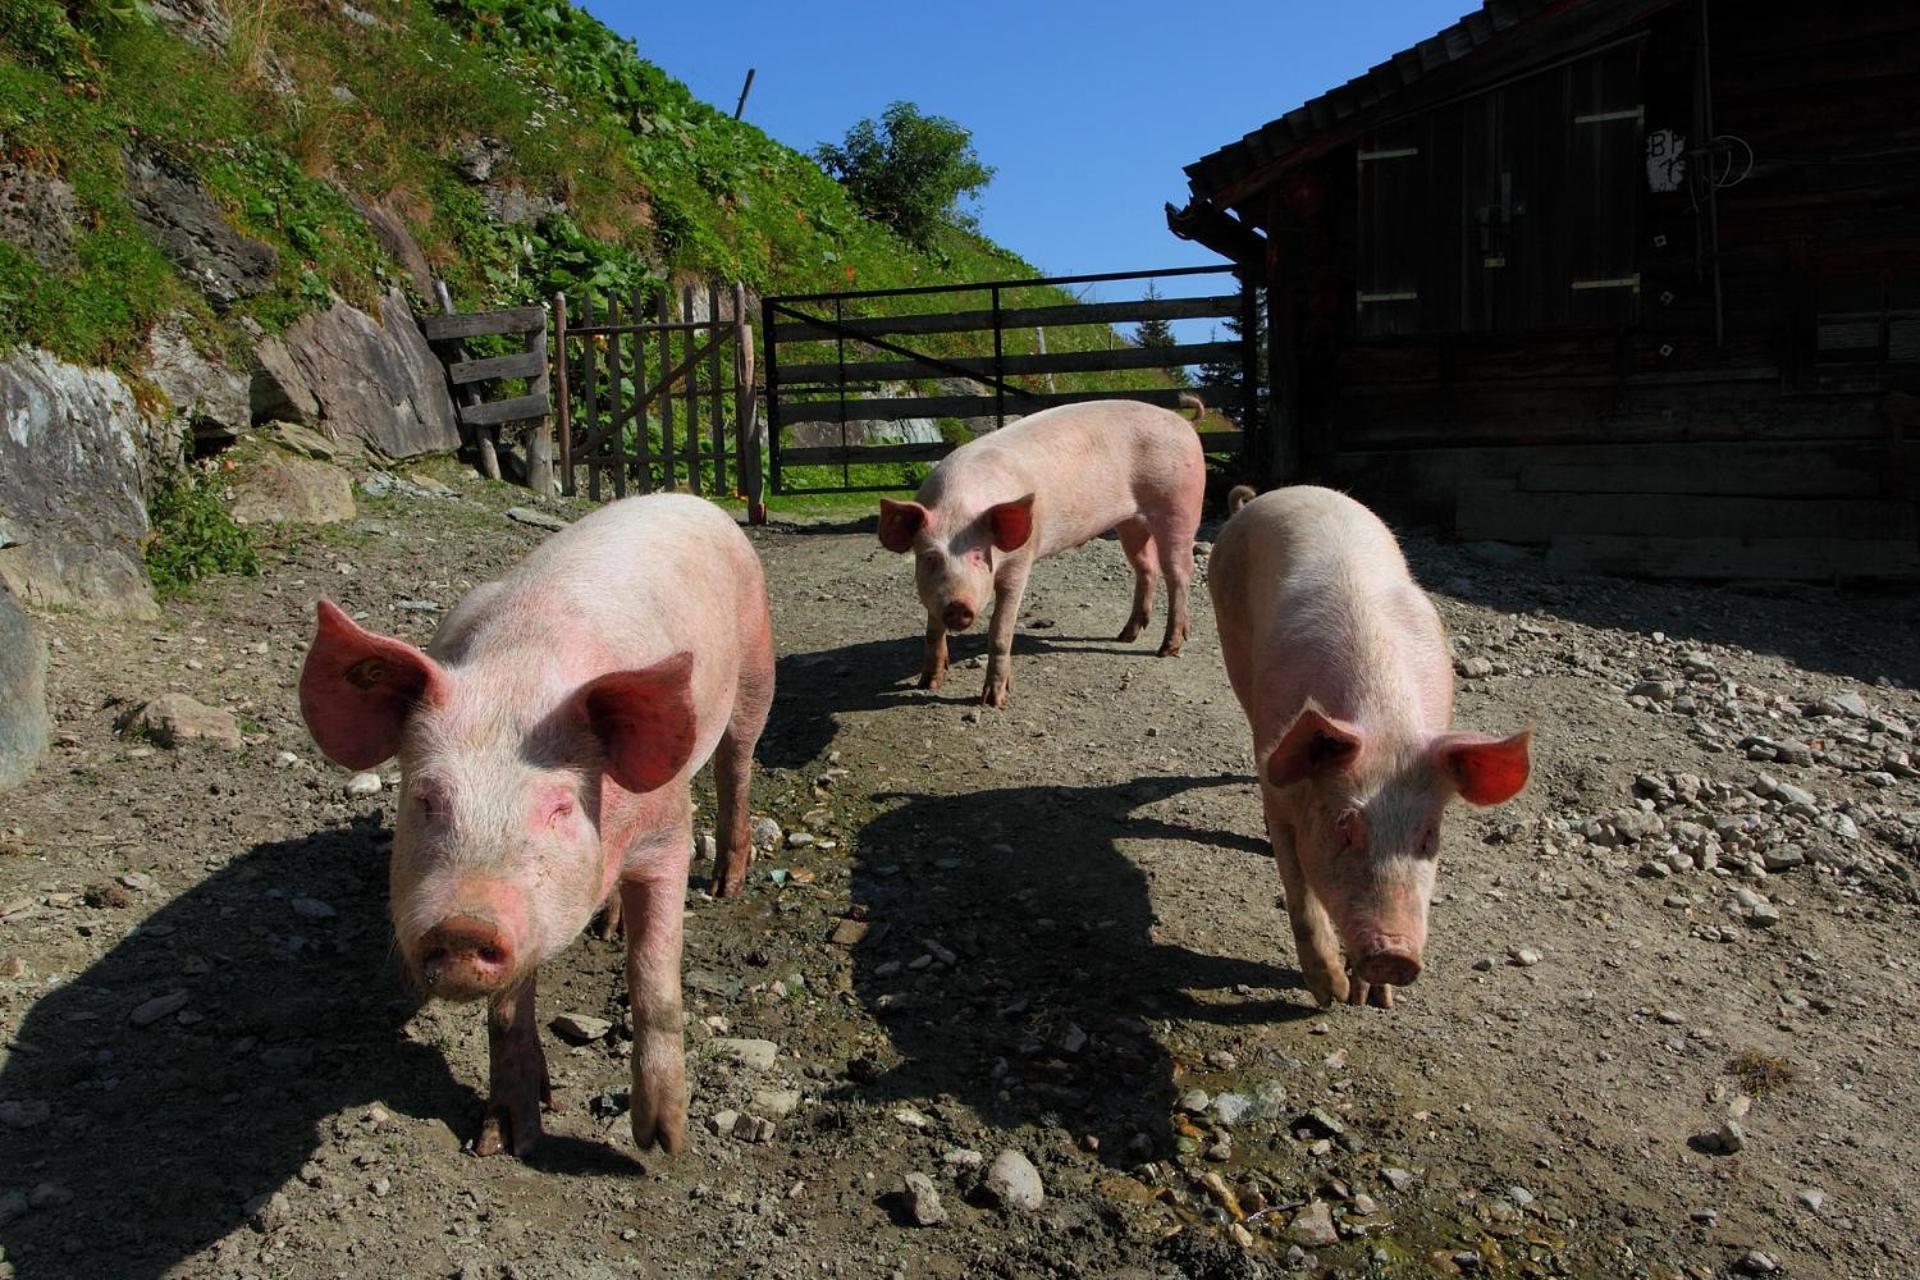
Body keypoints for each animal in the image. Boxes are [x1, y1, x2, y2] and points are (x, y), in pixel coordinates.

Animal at [293, 495, 771, 1159]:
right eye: (426, 798)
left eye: (560, 808)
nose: (463, 925)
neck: (518, 676)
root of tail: (690, 499)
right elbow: (506, 1012)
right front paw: (507, 1141)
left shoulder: (667, 832)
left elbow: (653, 979)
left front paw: (661, 1144)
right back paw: (606, 927)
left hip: (755, 666)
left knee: (737, 764)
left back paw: (727, 884)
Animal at [879, 395, 1205, 706]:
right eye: (929, 557)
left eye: (979, 555)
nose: (958, 605)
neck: (957, 508)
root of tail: (1184, 422)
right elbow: (933, 629)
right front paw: (927, 684)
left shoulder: (1021, 560)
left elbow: (1000, 631)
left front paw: (994, 701)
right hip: (1131, 522)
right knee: (1146, 567)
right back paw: (1126, 636)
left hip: (1179, 505)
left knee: (1178, 572)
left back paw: (1167, 648)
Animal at [1213, 485, 1528, 1005]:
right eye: (1345, 824)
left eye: (1429, 836)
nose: (1397, 956)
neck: (1385, 720)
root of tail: (1274, 493)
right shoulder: (1276, 781)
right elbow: (1299, 894)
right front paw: (1331, 994)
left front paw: (1372, 999)